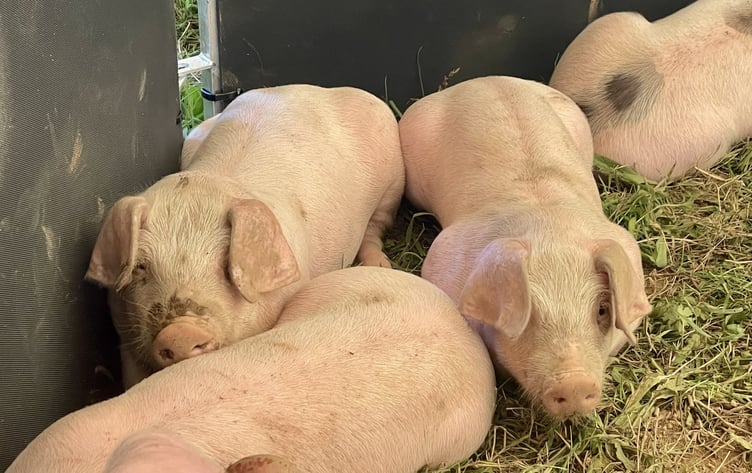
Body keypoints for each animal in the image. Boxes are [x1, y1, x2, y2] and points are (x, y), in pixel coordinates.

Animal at [85, 84, 405, 388]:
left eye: (225, 266)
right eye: (140, 267)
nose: (180, 333)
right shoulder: (124, 334)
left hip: (392, 185)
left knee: (375, 227)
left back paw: (380, 265)